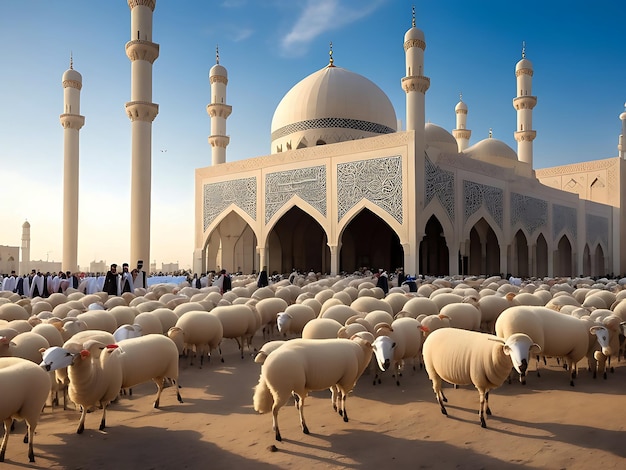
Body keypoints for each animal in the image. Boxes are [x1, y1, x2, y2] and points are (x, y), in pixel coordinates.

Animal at [252, 330, 380, 440]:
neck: (359, 350)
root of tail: (266, 364)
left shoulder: (338, 379)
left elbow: (337, 394)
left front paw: (338, 410)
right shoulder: (346, 380)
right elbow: (343, 397)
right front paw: (345, 416)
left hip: (291, 388)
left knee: (297, 405)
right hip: (282, 390)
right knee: (276, 409)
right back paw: (282, 434)